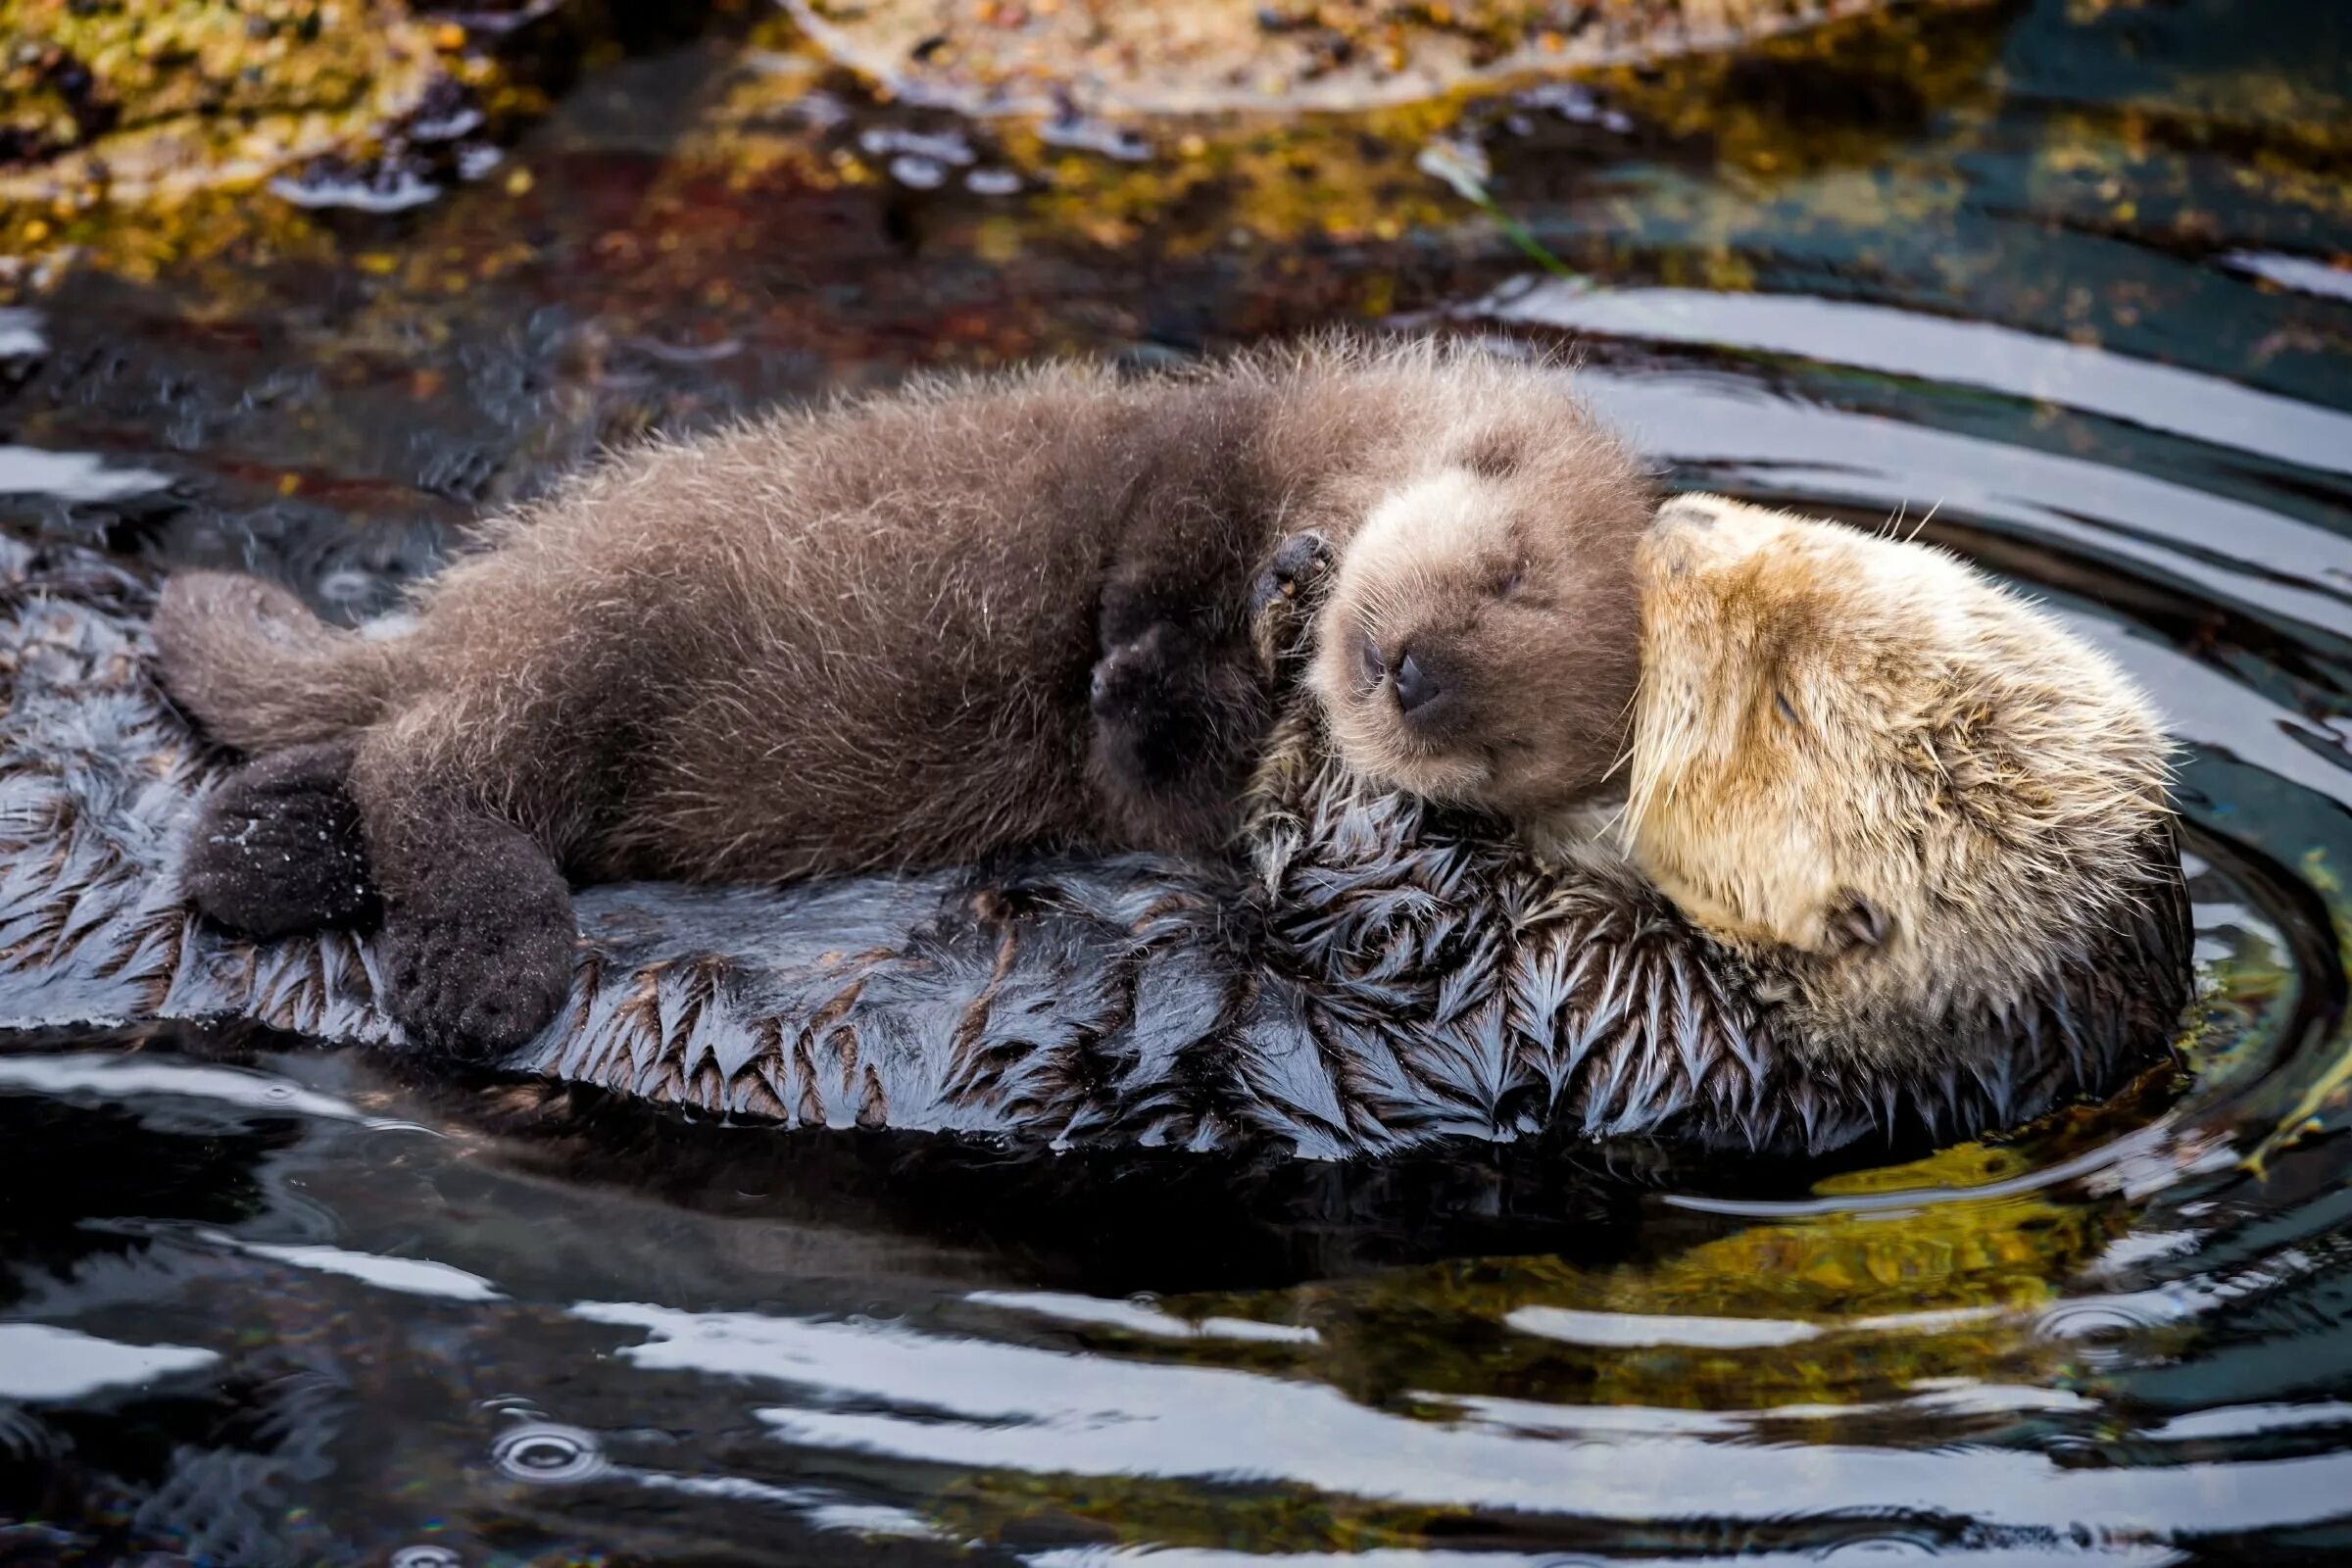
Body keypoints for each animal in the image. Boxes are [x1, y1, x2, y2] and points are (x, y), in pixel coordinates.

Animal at [151, 338, 1655, 1062]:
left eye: (1507, 746)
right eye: (1513, 574)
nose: (1419, 678)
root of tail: (482, 598)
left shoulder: (1179, 804)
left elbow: (1168, 774)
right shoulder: (1200, 458)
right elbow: (1155, 559)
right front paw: (1205, 629)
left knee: (386, 762)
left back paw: (258, 848)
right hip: (601, 631)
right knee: (431, 763)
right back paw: (477, 968)